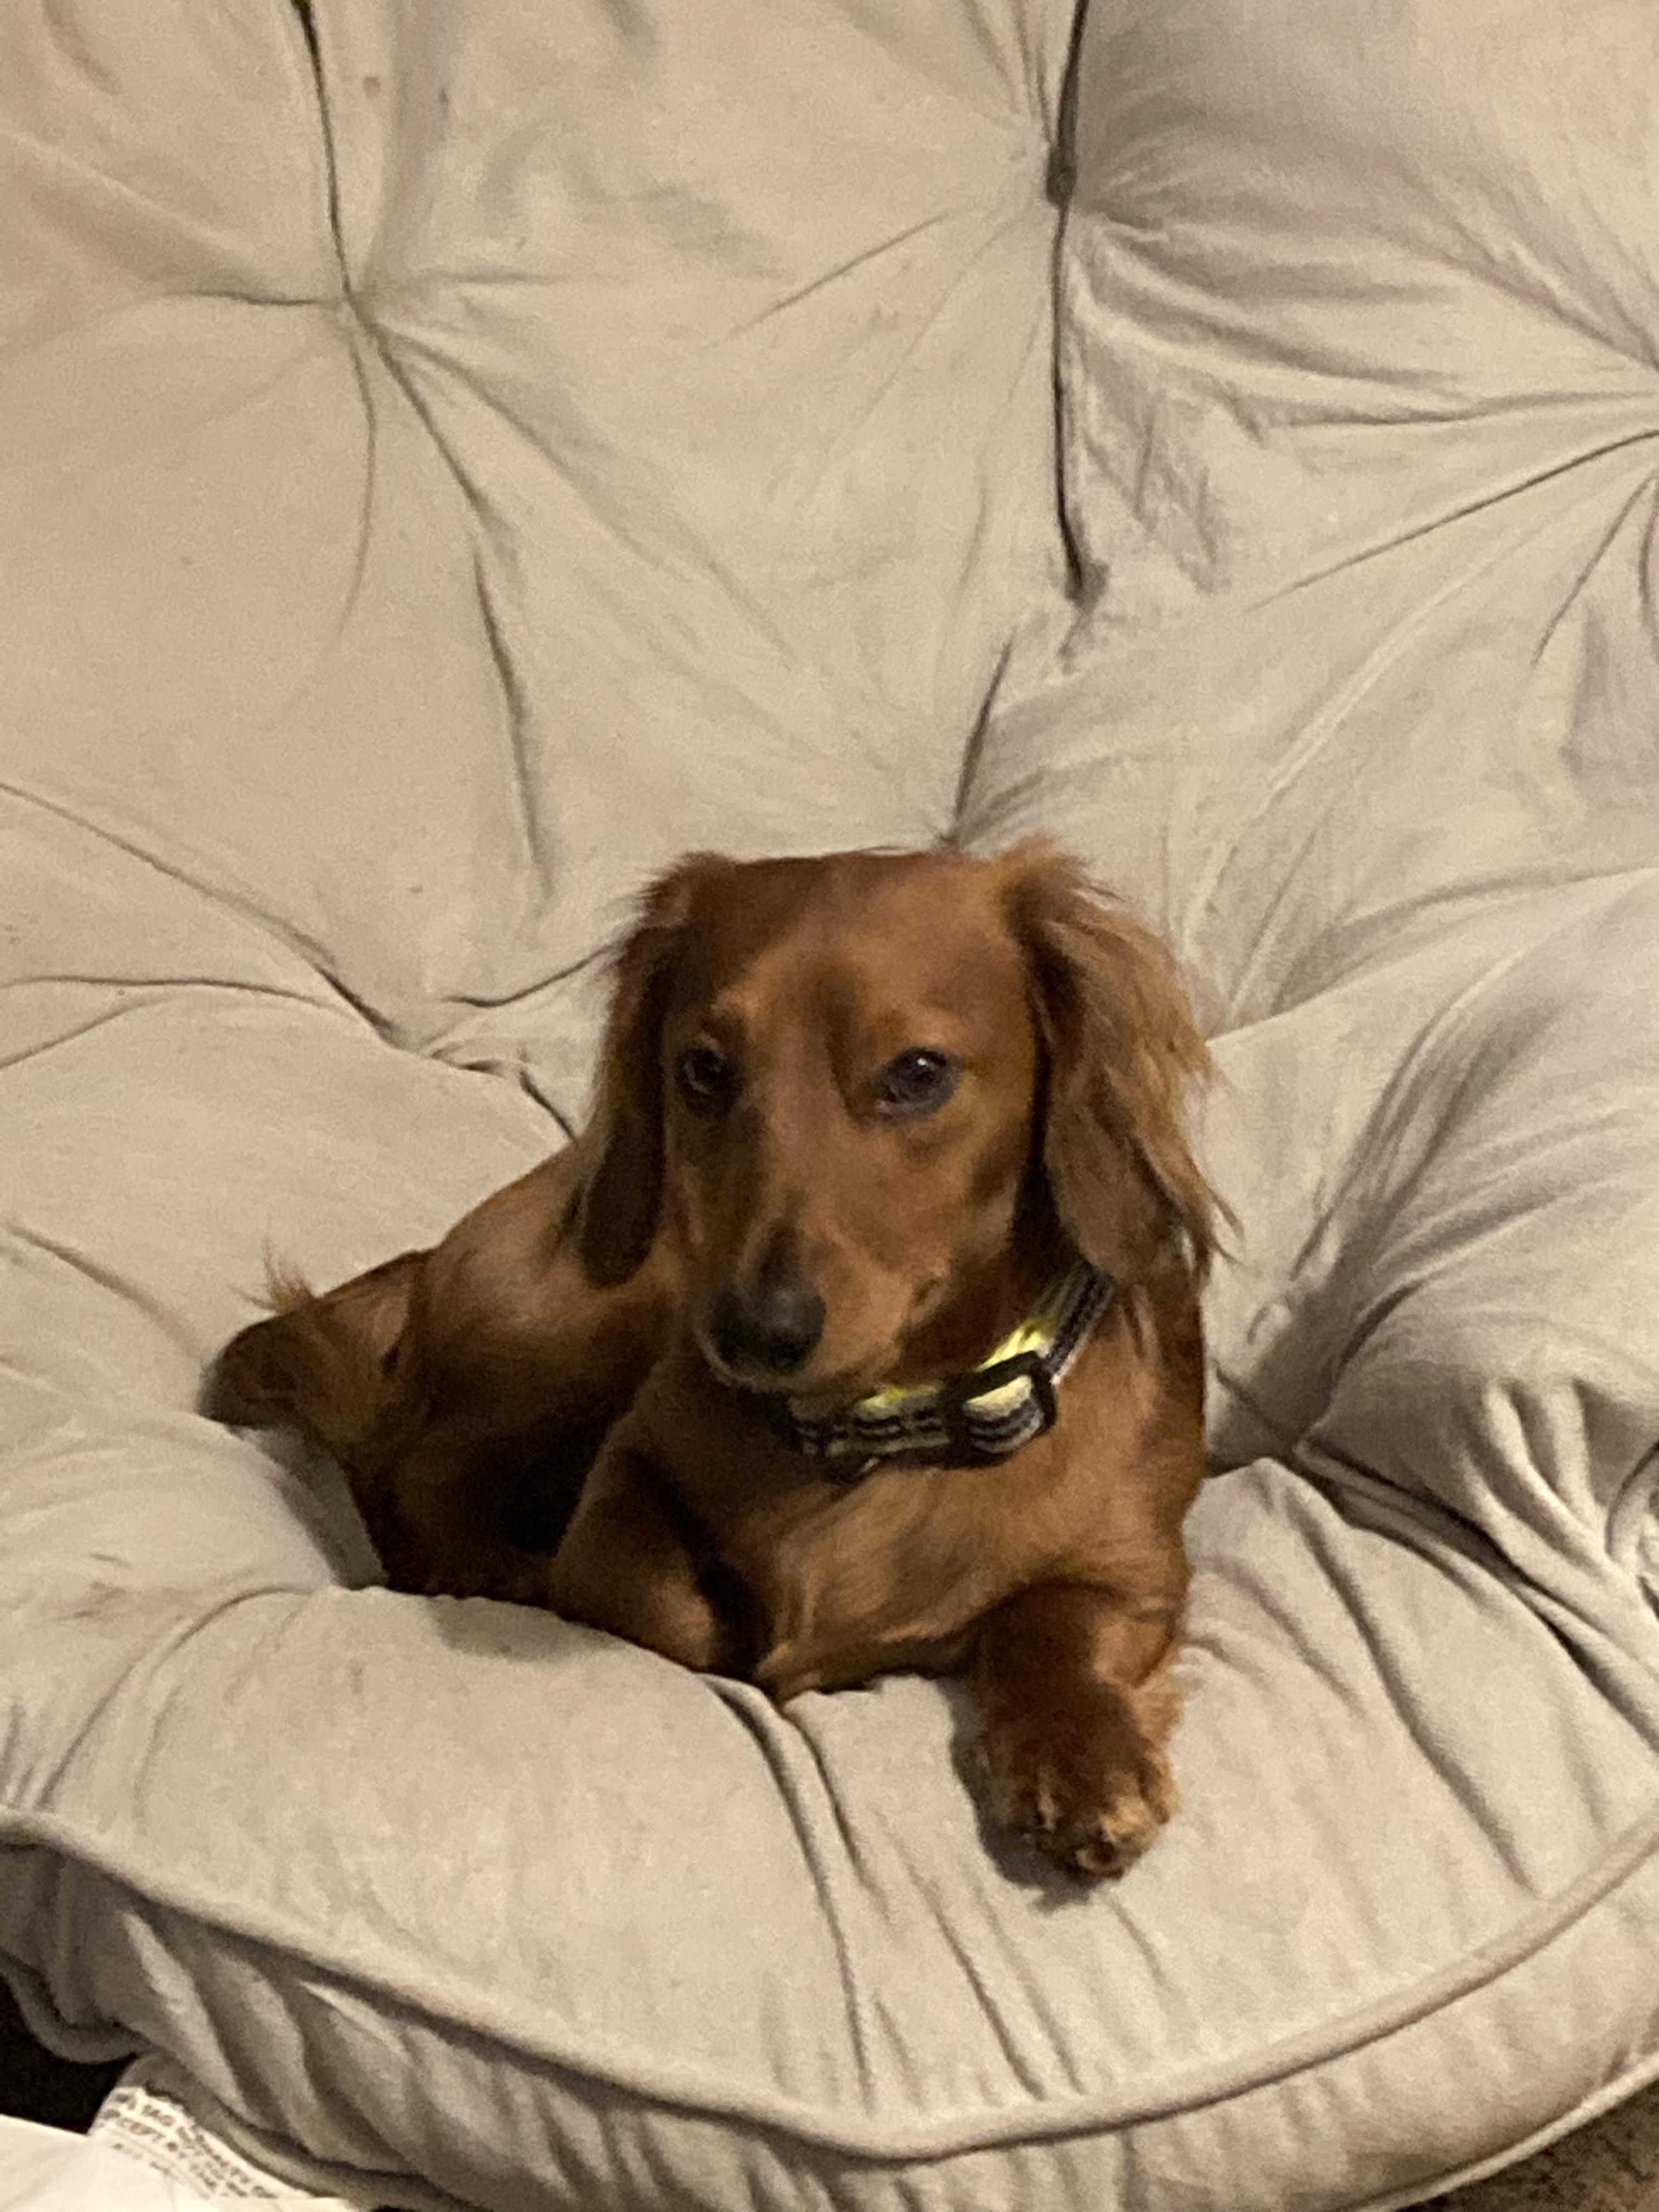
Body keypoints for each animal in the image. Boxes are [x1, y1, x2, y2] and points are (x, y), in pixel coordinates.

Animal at [215, 840, 1219, 1878]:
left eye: (918, 1072)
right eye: (703, 1067)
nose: (753, 1335)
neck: (869, 1428)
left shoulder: (1138, 1567)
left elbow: (1054, 1627)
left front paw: (1083, 1757)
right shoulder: (630, 1461)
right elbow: (642, 1590)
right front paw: (735, 1630)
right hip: (599, 1318)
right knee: (413, 1466)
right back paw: (494, 1566)